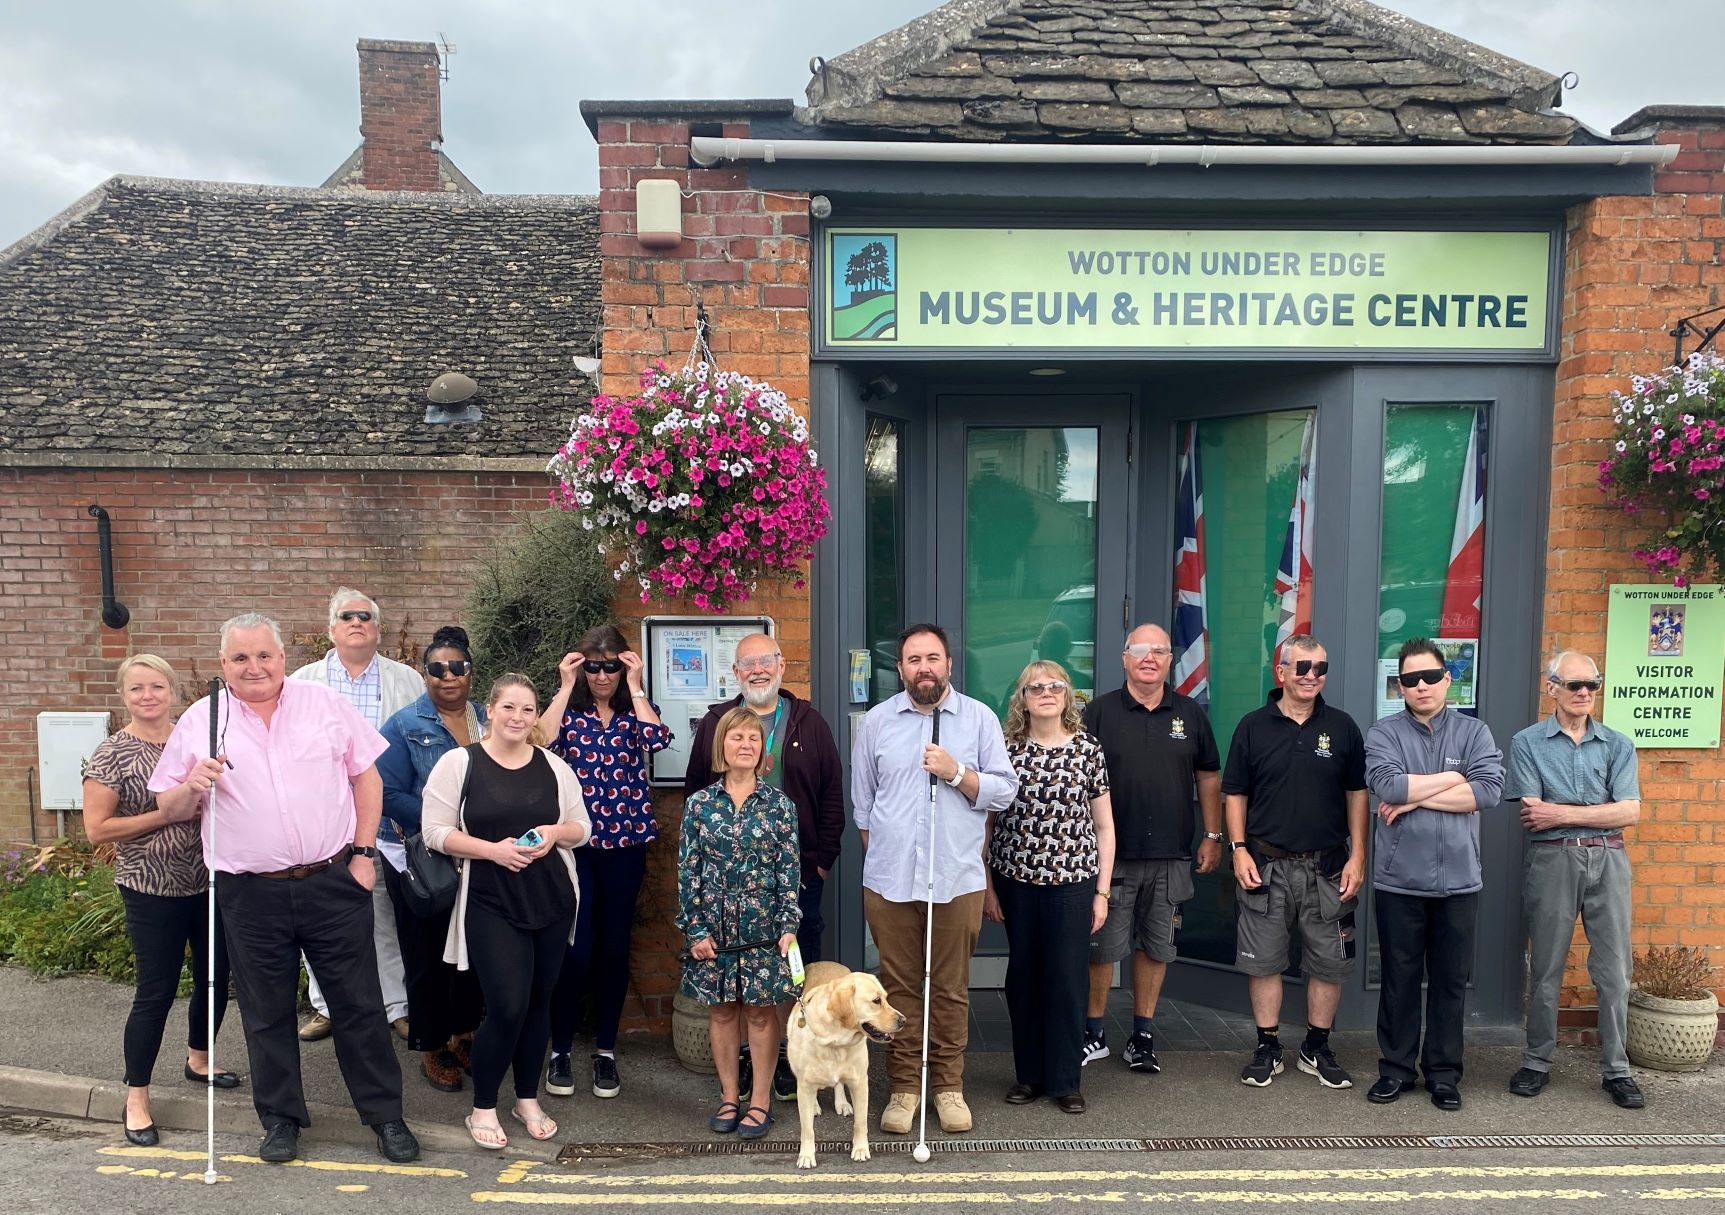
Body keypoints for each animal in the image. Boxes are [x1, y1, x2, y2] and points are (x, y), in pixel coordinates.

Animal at [790, 959, 910, 1166]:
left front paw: (860, 1149)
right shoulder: (804, 1084)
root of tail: (825, 961)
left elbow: (860, 1123)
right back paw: (814, 1106)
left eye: (886, 998)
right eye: (876, 1001)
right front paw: (806, 1155)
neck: (834, 1042)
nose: (903, 1020)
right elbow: (807, 1129)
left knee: (838, 1083)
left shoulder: (860, 1083)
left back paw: (842, 1103)